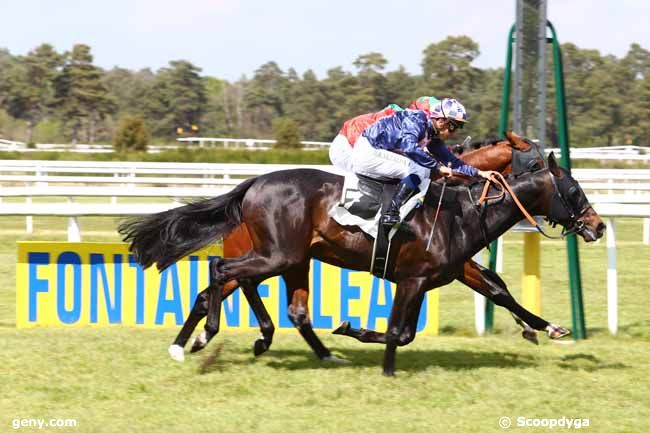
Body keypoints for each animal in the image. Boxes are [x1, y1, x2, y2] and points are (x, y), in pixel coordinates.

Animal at [121, 151, 604, 372]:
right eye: (574, 190)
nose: (597, 226)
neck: (461, 209)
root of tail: (253, 183)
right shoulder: (414, 278)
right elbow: (399, 332)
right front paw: (365, 342)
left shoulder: (443, 273)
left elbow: (498, 290)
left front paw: (549, 328)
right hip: (278, 254)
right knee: (221, 276)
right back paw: (207, 337)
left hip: (290, 258)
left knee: (283, 306)